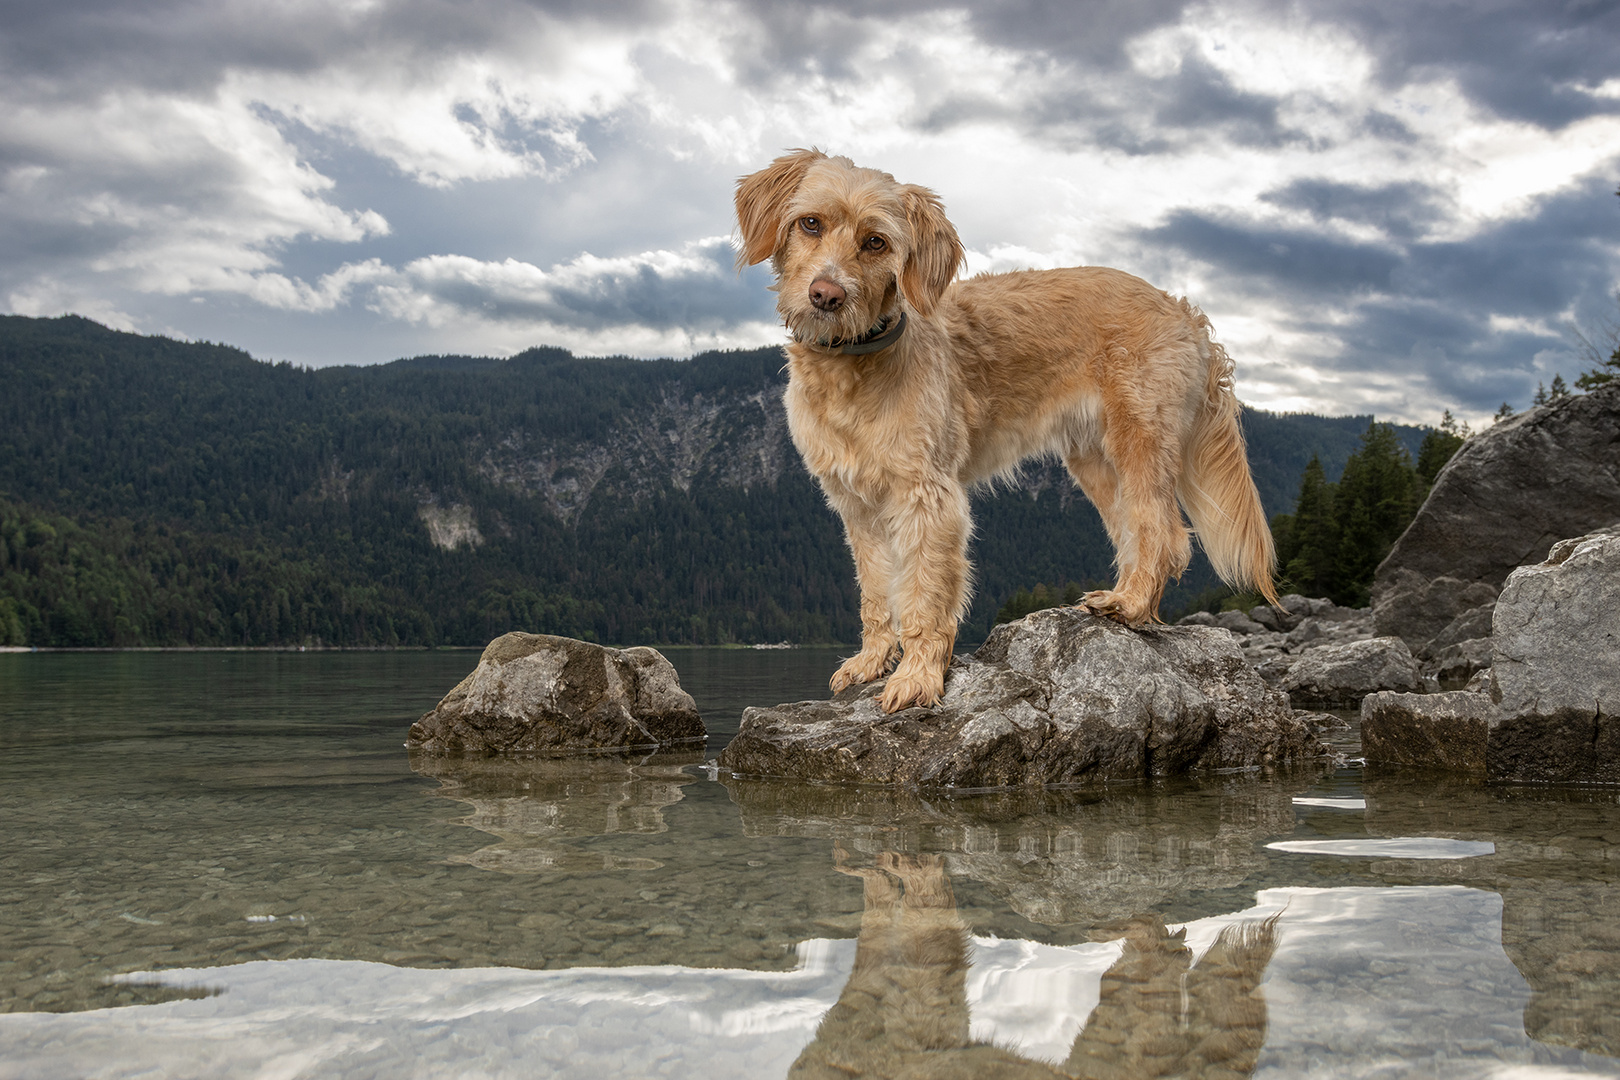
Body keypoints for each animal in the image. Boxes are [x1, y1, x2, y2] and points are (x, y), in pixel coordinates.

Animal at [735, 149, 1276, 709]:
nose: (826, 295)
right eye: (810, 223)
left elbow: (924, 592)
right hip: (1093, 460)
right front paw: (872, 661)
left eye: (876, 242)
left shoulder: (927, 497)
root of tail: (1184, 312)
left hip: (1141, 439)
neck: (855, 366)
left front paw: (917, 675)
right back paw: (1126, 602)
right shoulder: (858, 506)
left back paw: (1130, 605)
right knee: (1132, 528)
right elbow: (877, 593)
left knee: (1163, 532)